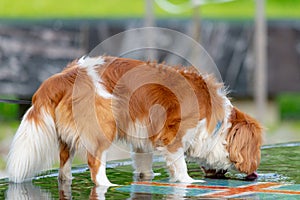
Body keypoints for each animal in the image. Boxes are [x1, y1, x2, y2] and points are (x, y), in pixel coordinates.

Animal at [5, 55, 262, 185]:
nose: (255, 172)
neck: (216, 121)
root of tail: (62, 76)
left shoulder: (142, 137)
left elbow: (143, 164)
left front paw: (147, 177)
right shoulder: (173, 138)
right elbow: (179, 166)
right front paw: (187, 181)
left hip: (67, 140)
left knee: (64, 163)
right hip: (104, 127)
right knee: (95, 164)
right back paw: (107, 185)